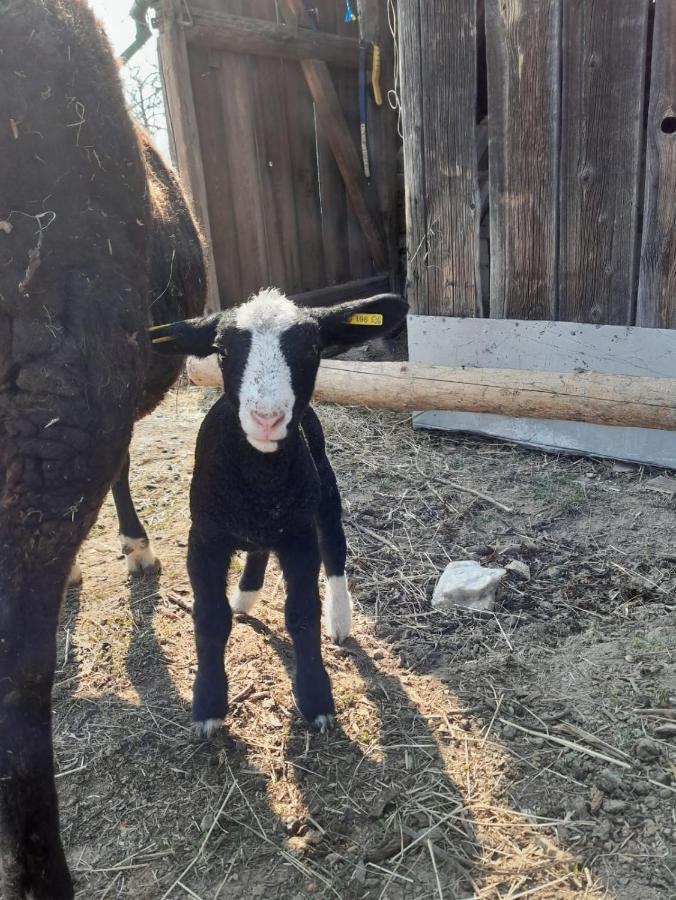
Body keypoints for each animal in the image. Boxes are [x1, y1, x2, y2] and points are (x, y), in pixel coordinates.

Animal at [153, 288, 406, 732]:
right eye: (221, 351)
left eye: (312, 348)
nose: (267, 419)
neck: (260, 478)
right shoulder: (204, 537)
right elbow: (210, 618)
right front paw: (207, 705)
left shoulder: (300, 536)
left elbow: (303, 614)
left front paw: (316, 698)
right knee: (258, 550)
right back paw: (244, 597)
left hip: (323, 489)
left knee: (334, 551)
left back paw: (340, 621)